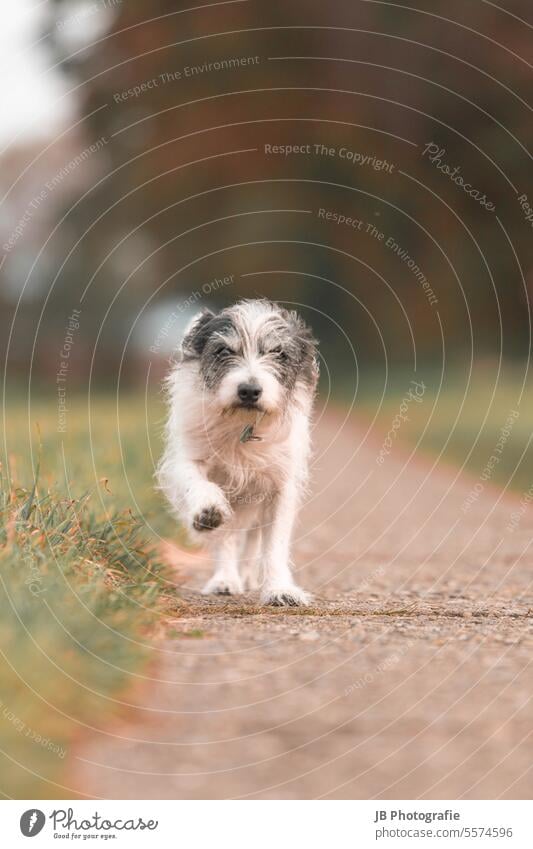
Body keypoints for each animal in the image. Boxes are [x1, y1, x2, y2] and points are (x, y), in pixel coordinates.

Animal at [156, 298, 318, 604]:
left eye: (279, 353)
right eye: (223, 351)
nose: (249, 391)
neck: (242, 424)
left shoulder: (279, 487)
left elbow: (275, 544)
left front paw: (279, 589)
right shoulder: (188, 458)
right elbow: (197, 484)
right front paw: (208, 508)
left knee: (252, 543)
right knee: (226, 538)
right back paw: (226, 579)